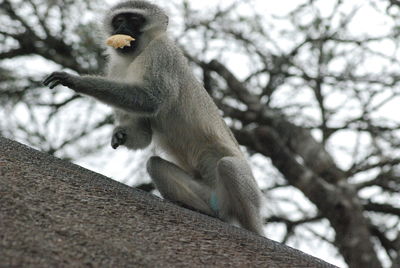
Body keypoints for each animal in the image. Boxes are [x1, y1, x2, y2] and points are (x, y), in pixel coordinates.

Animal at [42, 0, 264, 234]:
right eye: (119, 20)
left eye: (134, 20)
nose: (123, 29)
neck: (136, 55)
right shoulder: (116, 68)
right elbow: (144, 134)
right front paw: (120, 135)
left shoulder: (161, 53)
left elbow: (151, 99)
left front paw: (76, 80)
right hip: (210, 196)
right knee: (155, 164)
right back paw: (204, 212)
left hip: (247, 194)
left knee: (228, 166)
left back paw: (251, 230)